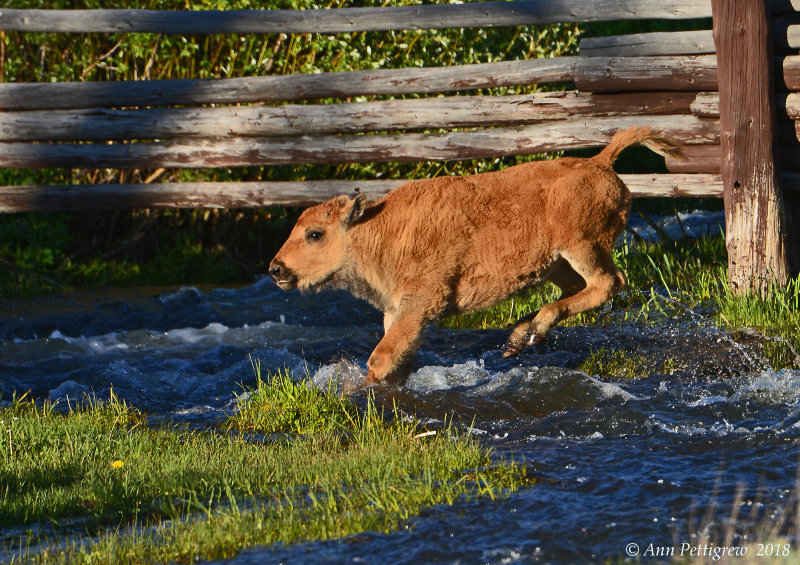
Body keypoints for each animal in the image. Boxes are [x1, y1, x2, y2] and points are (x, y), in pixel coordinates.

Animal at [268, 126, 680, 384]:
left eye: (314, 234)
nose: (276, 268)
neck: (379, 231)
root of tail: (599, 161)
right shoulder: (398, 312)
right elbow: (399, 359)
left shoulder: (421, 303)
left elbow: (382, 358)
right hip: (556, 264)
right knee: (579, 289)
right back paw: (519, 337)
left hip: (581, 247)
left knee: (608, 283)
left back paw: (532, 331)